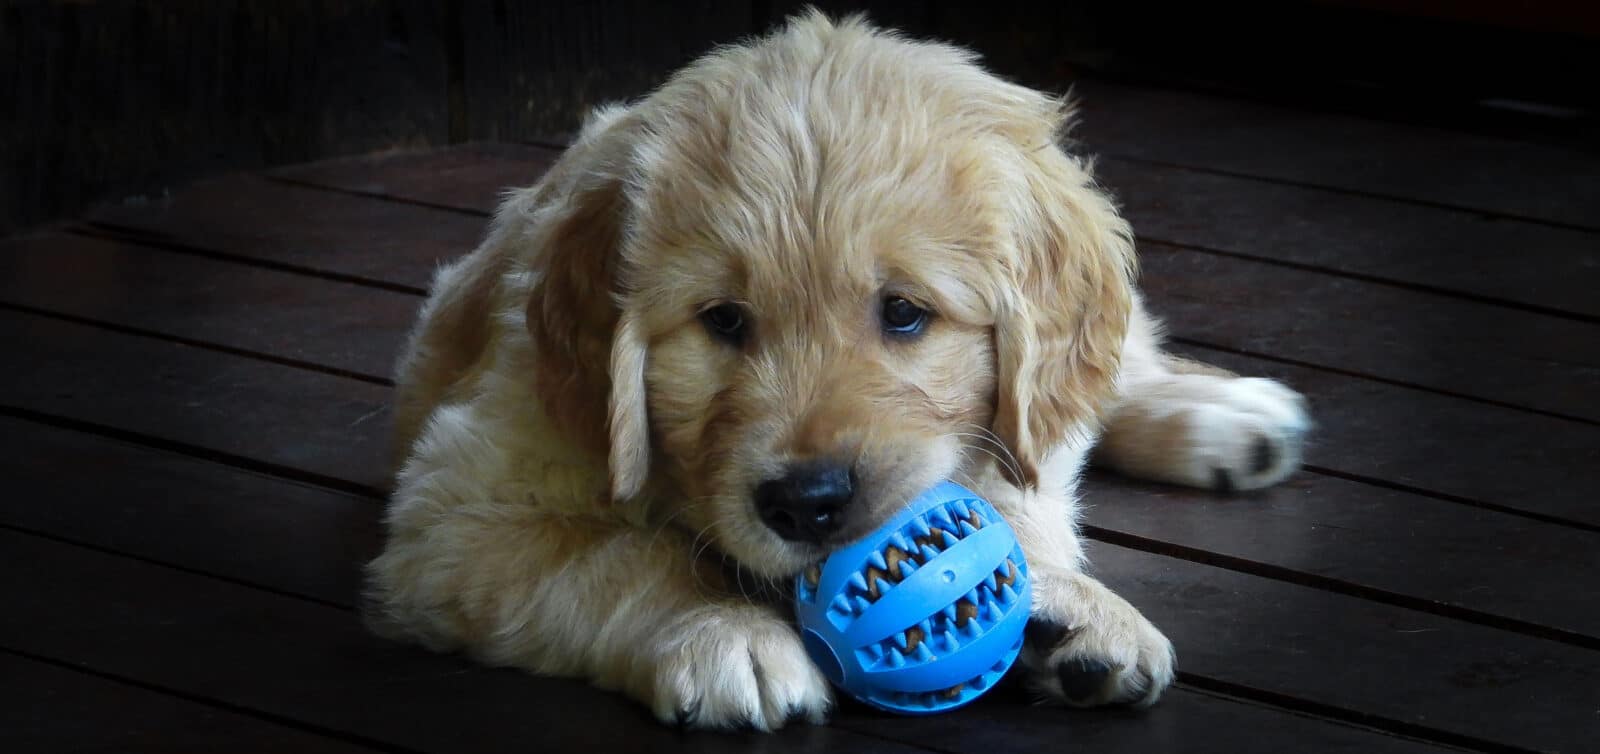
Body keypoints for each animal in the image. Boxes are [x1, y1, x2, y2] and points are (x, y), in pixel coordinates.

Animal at [368, 11, 1305, 733]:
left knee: (1103, 377)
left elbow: (1016, 487)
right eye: (723, 321)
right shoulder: (454, 517)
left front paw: (1064, 606)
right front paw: (724, 631)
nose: (806, 502)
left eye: (904, 312)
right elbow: (623, 557)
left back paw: (1229, 416)